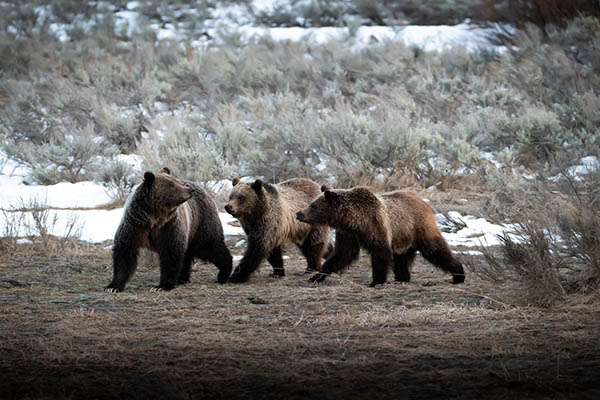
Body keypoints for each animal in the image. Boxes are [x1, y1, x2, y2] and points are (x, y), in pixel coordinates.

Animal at [296, 186, 464, 286]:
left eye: (313, 205)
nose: (299, 213)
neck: (353, 220)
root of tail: (424, 202)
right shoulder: (348, 234)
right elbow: (342, 254)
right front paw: (317, 276)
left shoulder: (375, 225)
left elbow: (380, 252)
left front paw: (376, 281)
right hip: (403, 237)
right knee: (402, 258)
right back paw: (402, 277)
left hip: (418, 227)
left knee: (435, 249)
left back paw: (458, 274)